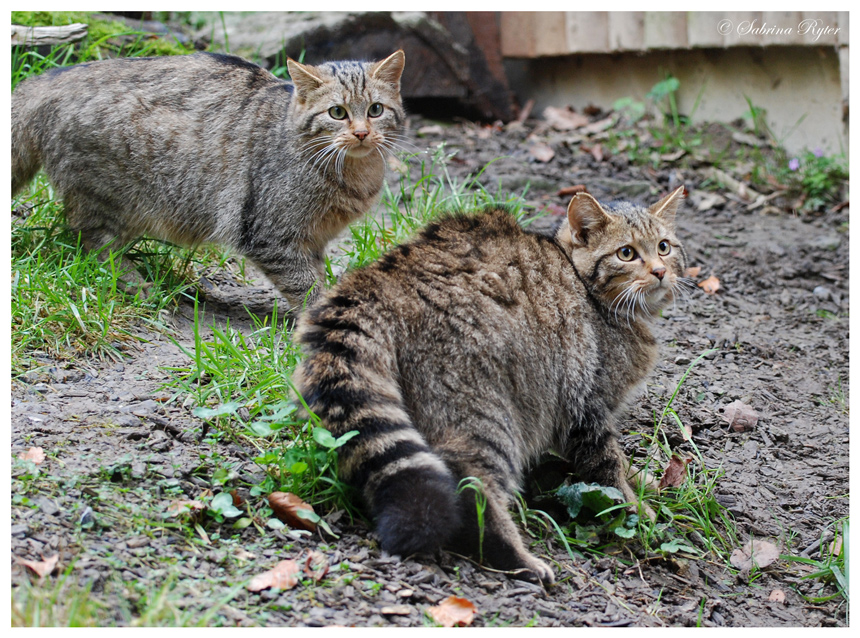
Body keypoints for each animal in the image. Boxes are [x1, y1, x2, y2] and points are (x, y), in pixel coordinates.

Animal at [10, 52, 406, 308]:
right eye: (337, 113)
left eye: (375, 110)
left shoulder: (314, 239)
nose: (361, 133)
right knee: (89, 244)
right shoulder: (271, 235)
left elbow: (318, 278)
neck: (353, 175)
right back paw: (136, 283)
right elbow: (305, 287)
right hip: (110, 199)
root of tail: (54, 77)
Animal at [292, 186, 688, 584]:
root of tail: (383, 276)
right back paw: (516, 557)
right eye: (626, 253)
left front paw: (642, 478)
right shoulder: (587, 405)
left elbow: (619, 462)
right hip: (486, 412)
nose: (660, 271)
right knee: (474, 488)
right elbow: (607, 473)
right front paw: (637, 512)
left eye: (664, 247)